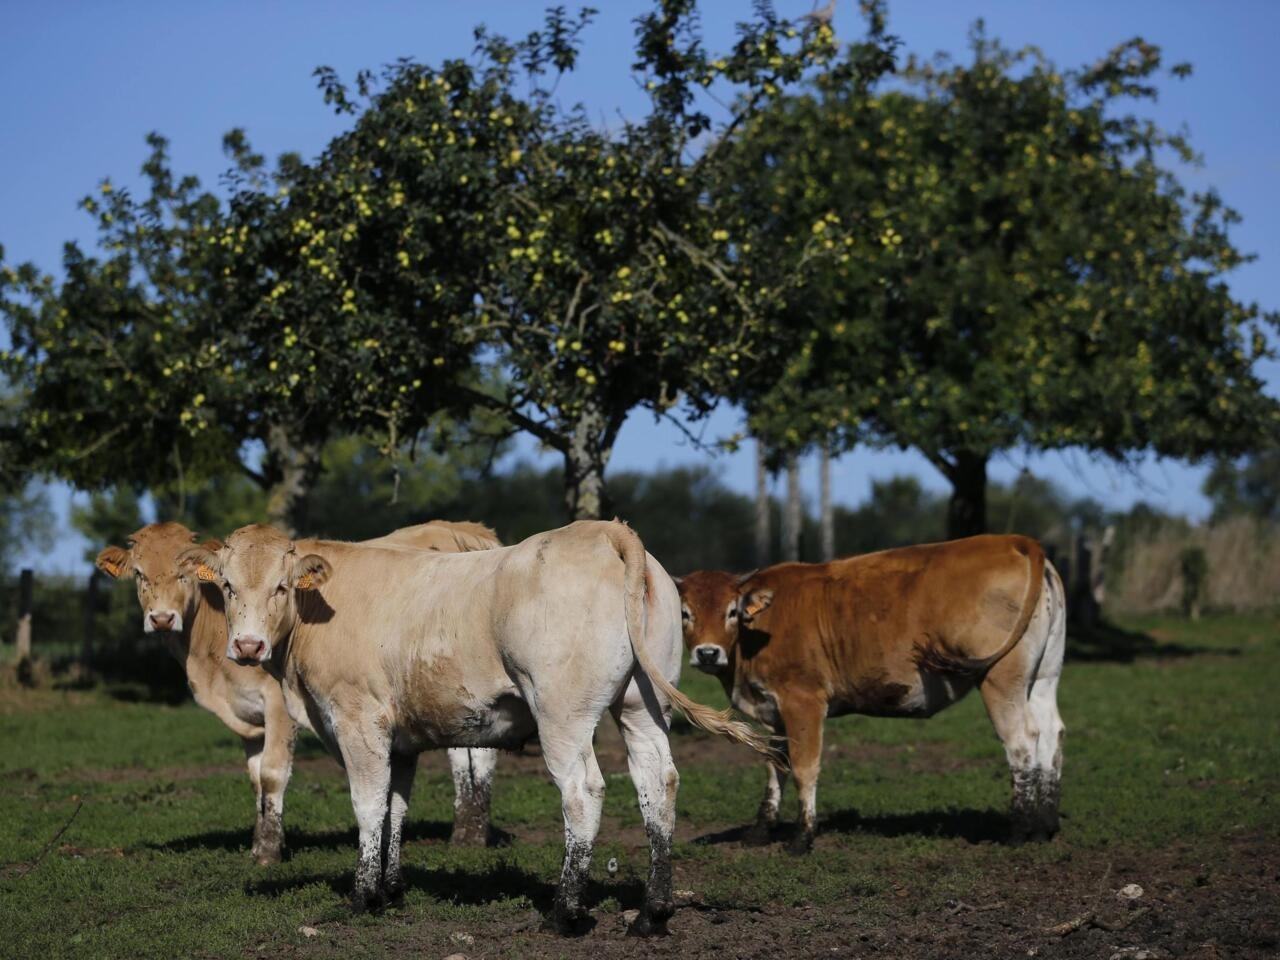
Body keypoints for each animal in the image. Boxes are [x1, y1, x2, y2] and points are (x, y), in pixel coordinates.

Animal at [96, 522, 504, 870]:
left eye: (183, 575)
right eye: (139, 574)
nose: (162, 618)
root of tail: (462, 529)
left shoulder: (278, 705)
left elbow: (273, 774)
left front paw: (269, 851)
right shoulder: (249, 718)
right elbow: (256, 777)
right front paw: (260, 842)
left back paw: (469, 835)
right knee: (465, 754)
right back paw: (467, 830)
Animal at [181, 522, 773, 936]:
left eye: (281, 587)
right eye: (228, 586)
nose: (248, 646)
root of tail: (603, 531)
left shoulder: (357, 720)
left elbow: (368, 805)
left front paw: (362, 896)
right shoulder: (402, 739)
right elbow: (396, 808)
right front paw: (391, 890)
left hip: (562, 713)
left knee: (583, 792)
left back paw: (564, 912)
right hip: (643, 707)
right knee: (658, 785)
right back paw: (653, 912)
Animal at [680, 535, 1070, 855]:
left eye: (732, 611)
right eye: (685, 613)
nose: (708, 653)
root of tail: (1015, 541)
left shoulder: (803, 701)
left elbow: (805, 767)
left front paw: (802, 837)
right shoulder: (773, 711)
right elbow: (775, 766)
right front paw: (761, 830)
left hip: (1001, 679)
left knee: (1021, 741)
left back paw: (1019, 830)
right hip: (1044, 676)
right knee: (1051, 734)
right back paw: (1045, 826)